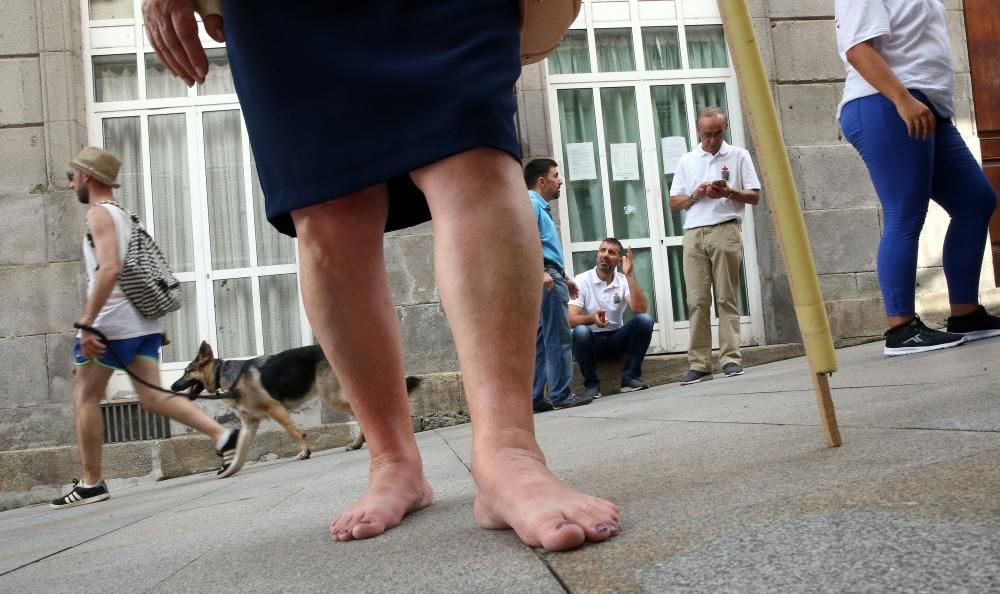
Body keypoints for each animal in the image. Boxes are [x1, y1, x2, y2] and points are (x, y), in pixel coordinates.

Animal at [172, 340, 422, 474]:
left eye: (186, 372)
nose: (173, 387)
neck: (223, 374)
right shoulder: (250, 424)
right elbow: (241, 448)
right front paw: (230, 468)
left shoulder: (275, 409)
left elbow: (294, 431)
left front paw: (304, 451)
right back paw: (358, 443)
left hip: (331, 397)